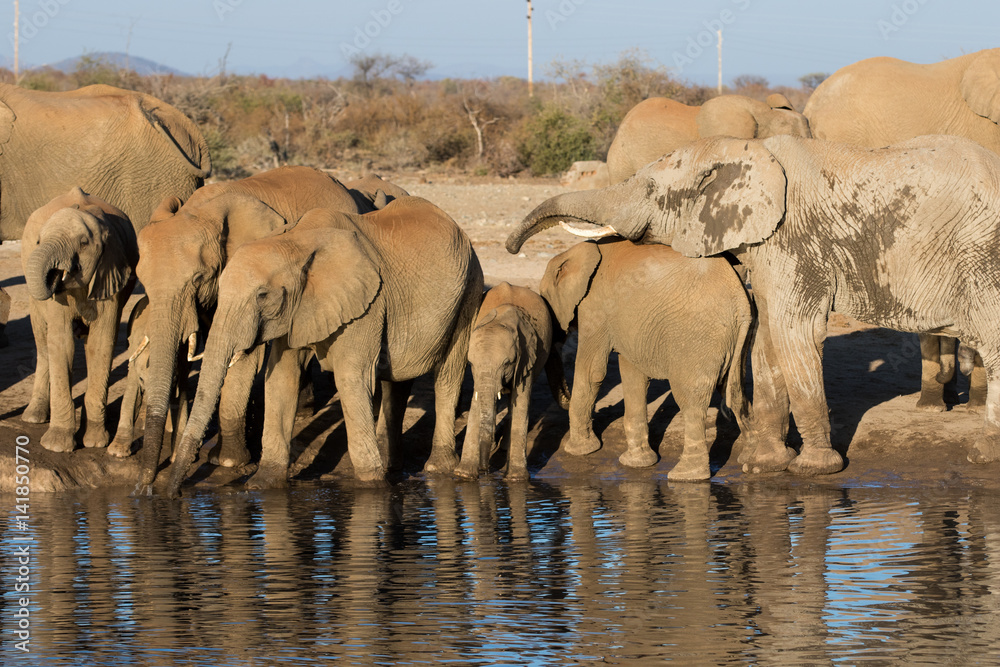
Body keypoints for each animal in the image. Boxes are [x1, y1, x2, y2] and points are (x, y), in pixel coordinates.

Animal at [20, 188, 138, 452]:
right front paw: (56, 446)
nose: (55, 276)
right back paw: (33, 417)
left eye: (83, 243)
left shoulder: (110, 275)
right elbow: (62, 343)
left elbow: (100, 343)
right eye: (38, 242)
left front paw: (95, 442)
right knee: (43, 342)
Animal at [133, 166, 360, 494]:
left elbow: (242, 354)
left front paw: (226, 462)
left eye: (198, 278)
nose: (144, 490)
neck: (203, 212)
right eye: (143, 281)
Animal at [164, 195, 484, 496]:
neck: (296, 242)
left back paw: (436, 469)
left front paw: (372, 487)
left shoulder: (367, 303)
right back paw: (391, 465)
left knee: (448, 375)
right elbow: (281, 378)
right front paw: (261, 485)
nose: (173, 493)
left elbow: (351, 378)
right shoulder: (297, 310)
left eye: (263, 295)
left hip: (469, 291)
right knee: (397, 380)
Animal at [456, 281, 569, 480]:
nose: (485, 470)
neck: (500, 319)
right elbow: (477, 403)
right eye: (470, 363)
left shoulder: (527, 357)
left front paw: (516, 479)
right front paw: (464, 476)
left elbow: (521, 402)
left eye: (507, 363)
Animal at [538, 239, 752, 480]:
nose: (602, 410)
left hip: (698, 339)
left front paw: (579, 450)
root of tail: (742, 305)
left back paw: (685, 476)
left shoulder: (595, 307)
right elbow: (634, 375)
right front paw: (637, 463)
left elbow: (593, 371)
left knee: (691, 400)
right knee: (736, 393)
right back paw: (752, 460)